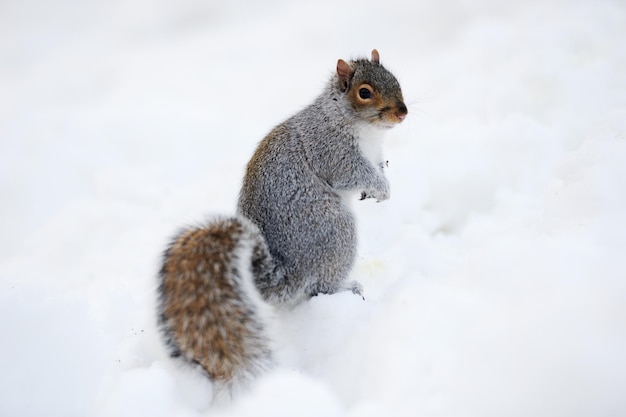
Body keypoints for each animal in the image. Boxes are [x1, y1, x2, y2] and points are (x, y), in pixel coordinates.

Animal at [158, 48, 408, 400]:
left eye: (396, 79)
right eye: (364, 92)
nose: (402, 113)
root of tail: (288, 272)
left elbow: (377, 166)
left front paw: (379, 184)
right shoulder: (331, 149)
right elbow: (351, 172)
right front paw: (381, 188)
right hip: (336, 231)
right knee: (319, 287)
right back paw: (346, 287)